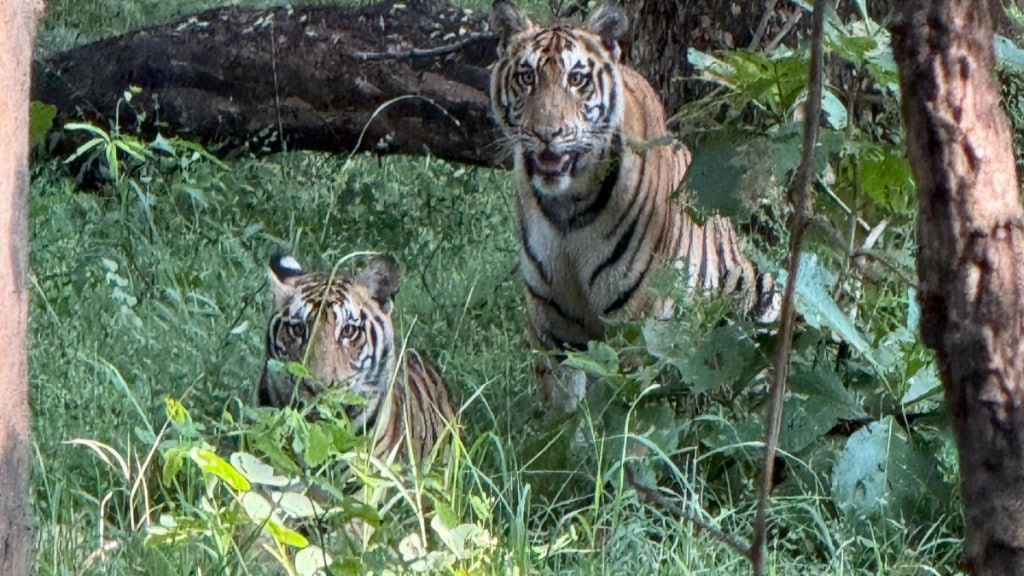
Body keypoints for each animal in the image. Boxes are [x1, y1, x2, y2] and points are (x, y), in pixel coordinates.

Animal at [487, 2, 774, 409]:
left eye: (577, 79)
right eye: (526, 77)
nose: (546, 134)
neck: (568, 206)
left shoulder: (637, 322)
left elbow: (626, 408)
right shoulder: (552, 322)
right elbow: (562, 411)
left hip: (761, 292)